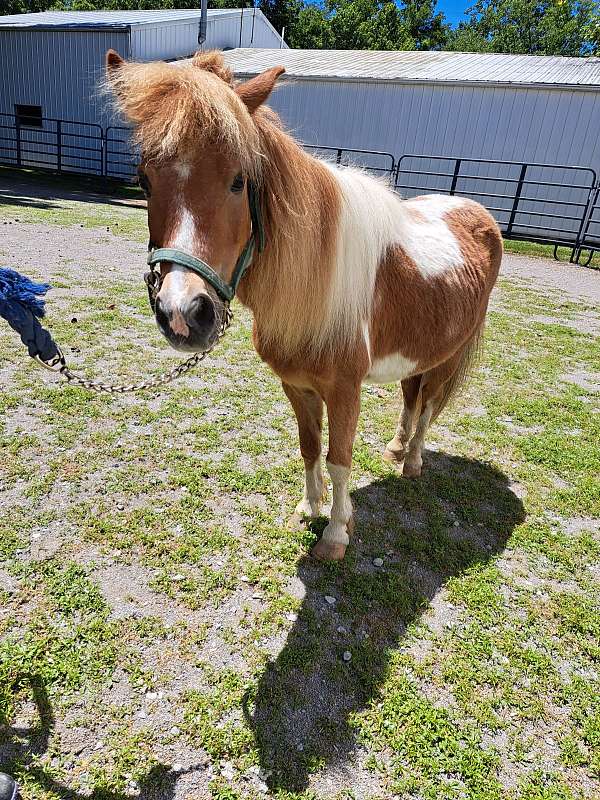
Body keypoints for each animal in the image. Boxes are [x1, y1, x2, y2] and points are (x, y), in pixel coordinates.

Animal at [104, 50, 502, 564]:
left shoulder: (345, 391)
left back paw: (411, 461)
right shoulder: (296, 385)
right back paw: (395, 449)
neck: (315, 280)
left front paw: (335, 533)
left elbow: (338, 460)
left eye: (239, 181)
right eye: (144, 180)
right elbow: (310, 448)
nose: (183, 313)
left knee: (430, 404)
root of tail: (477, 213)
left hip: (448, 356)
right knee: (411, 399)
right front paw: (309, 509)